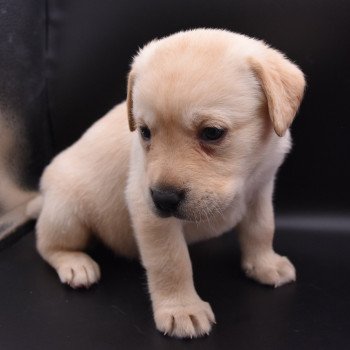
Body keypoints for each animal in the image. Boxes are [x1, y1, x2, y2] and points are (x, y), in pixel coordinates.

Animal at [28, 29, 304, 336]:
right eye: (145, 132)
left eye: (212, 133)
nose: (163, 198)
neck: (243, 177)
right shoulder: (147, 211)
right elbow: (171, 261)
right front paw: (182, 309)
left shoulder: (261, 190)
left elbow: (262, 229)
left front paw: (265, 264)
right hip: (67, 215)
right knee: (47, 245)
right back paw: (75, 264)